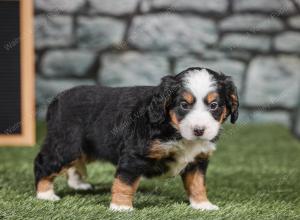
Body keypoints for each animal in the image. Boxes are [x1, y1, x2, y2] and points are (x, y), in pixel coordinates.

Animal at [33, 67, 239, 211]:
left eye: (214, 105)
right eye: (184, 105)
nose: (199, 130)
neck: (175, 130)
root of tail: (58, 98)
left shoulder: (198, 159)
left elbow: (197, 183)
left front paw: (202, 205)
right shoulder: (135, 154)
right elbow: (125, 183)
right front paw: (121, 207)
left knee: (75, 163)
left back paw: (78, 184)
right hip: (66, 144)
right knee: (44, 163)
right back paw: (45, 194)